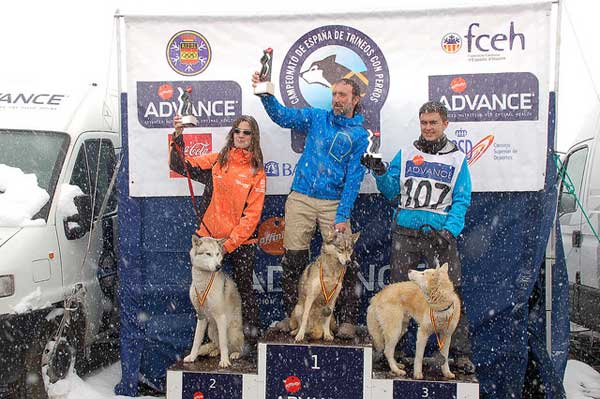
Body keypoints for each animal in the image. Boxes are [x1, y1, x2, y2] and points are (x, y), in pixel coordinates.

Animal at [185, 236, 246, 370]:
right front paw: (192, 357)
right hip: (211, 331)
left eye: (218, 253)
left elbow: (223, 343)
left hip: (232, 331)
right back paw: (214, 351)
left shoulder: (220, 316)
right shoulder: (201, 316)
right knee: (216, 345)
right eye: (208, 254)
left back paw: (234, 354)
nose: (218, 266)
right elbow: (196, 341)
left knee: (236, 347)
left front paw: (224, 362)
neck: (202, 285)